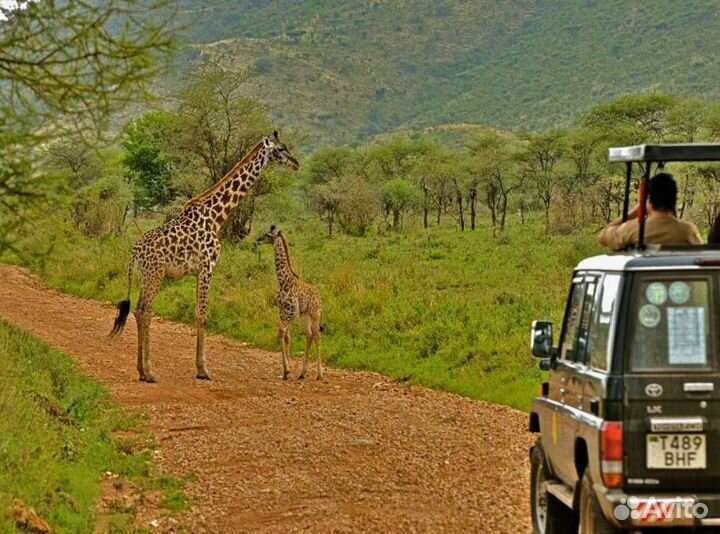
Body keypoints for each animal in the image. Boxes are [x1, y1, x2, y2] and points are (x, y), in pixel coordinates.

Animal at [109, 134, 298, 386]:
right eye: (281, 149)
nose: (296, 163)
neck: (216, 216)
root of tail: (135, 251)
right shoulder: (208, 267)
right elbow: (203, 315)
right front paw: (203, 370)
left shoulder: (198, 272)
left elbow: (197, 314)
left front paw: (200, 368)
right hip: (155, 274)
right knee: (145, 311)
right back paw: (148, 372)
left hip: (143, 277)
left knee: (139, 310)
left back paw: (141, 370)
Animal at [252, 226, 322, 382]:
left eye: (268, 235)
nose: (257, 240)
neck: (283, 281)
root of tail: (319, 296)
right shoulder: (283, 310)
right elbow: (286, 336)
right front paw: (287, 371)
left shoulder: (291, 311)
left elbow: (281, 332)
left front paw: (287, 370)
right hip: (304, 315)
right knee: (309, 335)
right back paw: (302, 373)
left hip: (314, 314)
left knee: (317, 336)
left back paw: (320, 374)